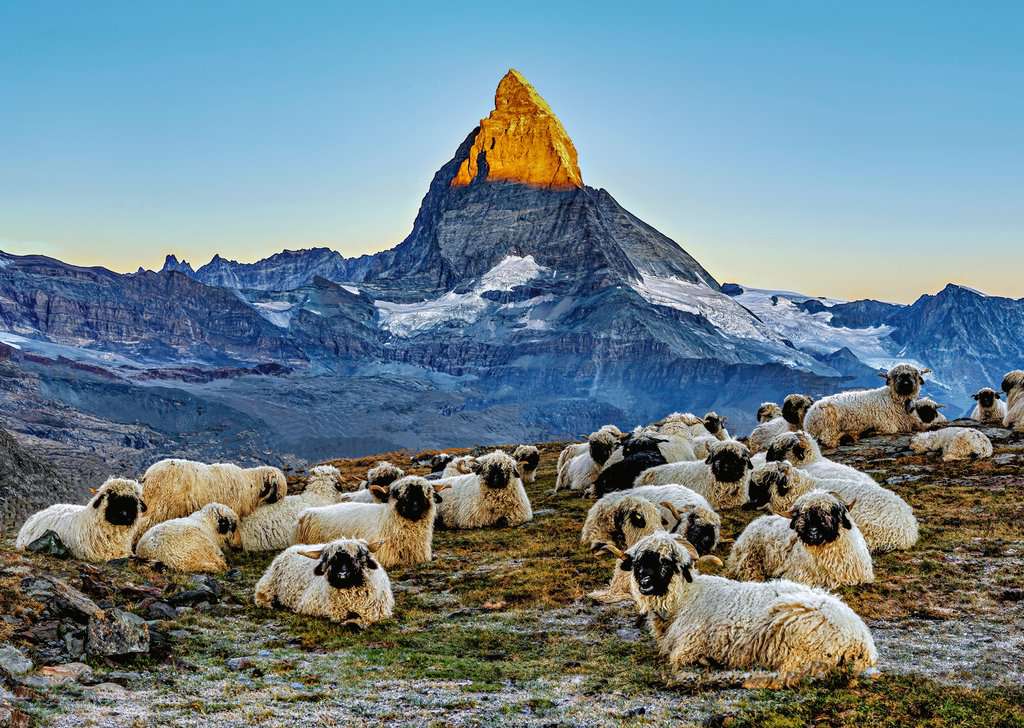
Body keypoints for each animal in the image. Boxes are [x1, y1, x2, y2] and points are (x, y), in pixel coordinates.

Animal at [137, 459, 287, 535]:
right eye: (277, 489)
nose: (276, 500)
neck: (251, 484)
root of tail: (148, 475)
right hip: (161, 504)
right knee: (144, 523)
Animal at [254, 539, 394, 626]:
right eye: (331, 560)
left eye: (357, 558)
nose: (341, 575)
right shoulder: (313, 605)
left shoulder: (378, 610)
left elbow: (365, 618)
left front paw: (354, 623)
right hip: (268, 583)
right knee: (260, 596)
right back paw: (268, 604)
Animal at [611, 532, 877, 687]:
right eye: (638, 561)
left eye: (666, 562)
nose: (645, 582)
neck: (685, 598)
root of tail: (862, 641)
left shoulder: (687, 649)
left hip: (799, 642)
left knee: (789, 677)